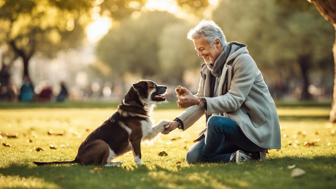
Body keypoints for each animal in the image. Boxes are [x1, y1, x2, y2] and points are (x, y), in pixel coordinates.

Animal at [34, 80, 168, 166]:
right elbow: (138, 155)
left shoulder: (146, 133)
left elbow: (160, 124)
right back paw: (114, 165)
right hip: (101, 143)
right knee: (100, 164)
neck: (136, 105)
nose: (166, 87)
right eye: (153, 86)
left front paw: (167, 123)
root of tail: (77, 158)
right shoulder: (135, 138)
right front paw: (140, 165)